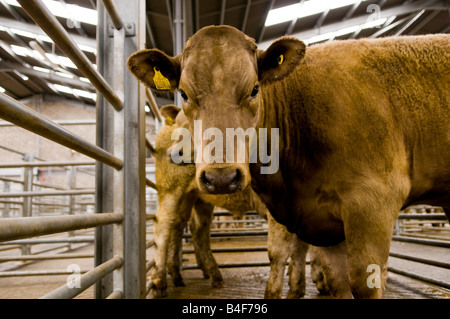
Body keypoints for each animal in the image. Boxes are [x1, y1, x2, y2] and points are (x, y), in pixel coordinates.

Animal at [149, 105, 312, 300]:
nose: (174, 153)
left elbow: (302, 247)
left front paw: (298, 288)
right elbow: (281, 251)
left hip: (194, 197)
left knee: (190, 227)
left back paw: (194, 274)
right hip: (170, 187)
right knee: (163, 225)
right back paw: (160, 282)